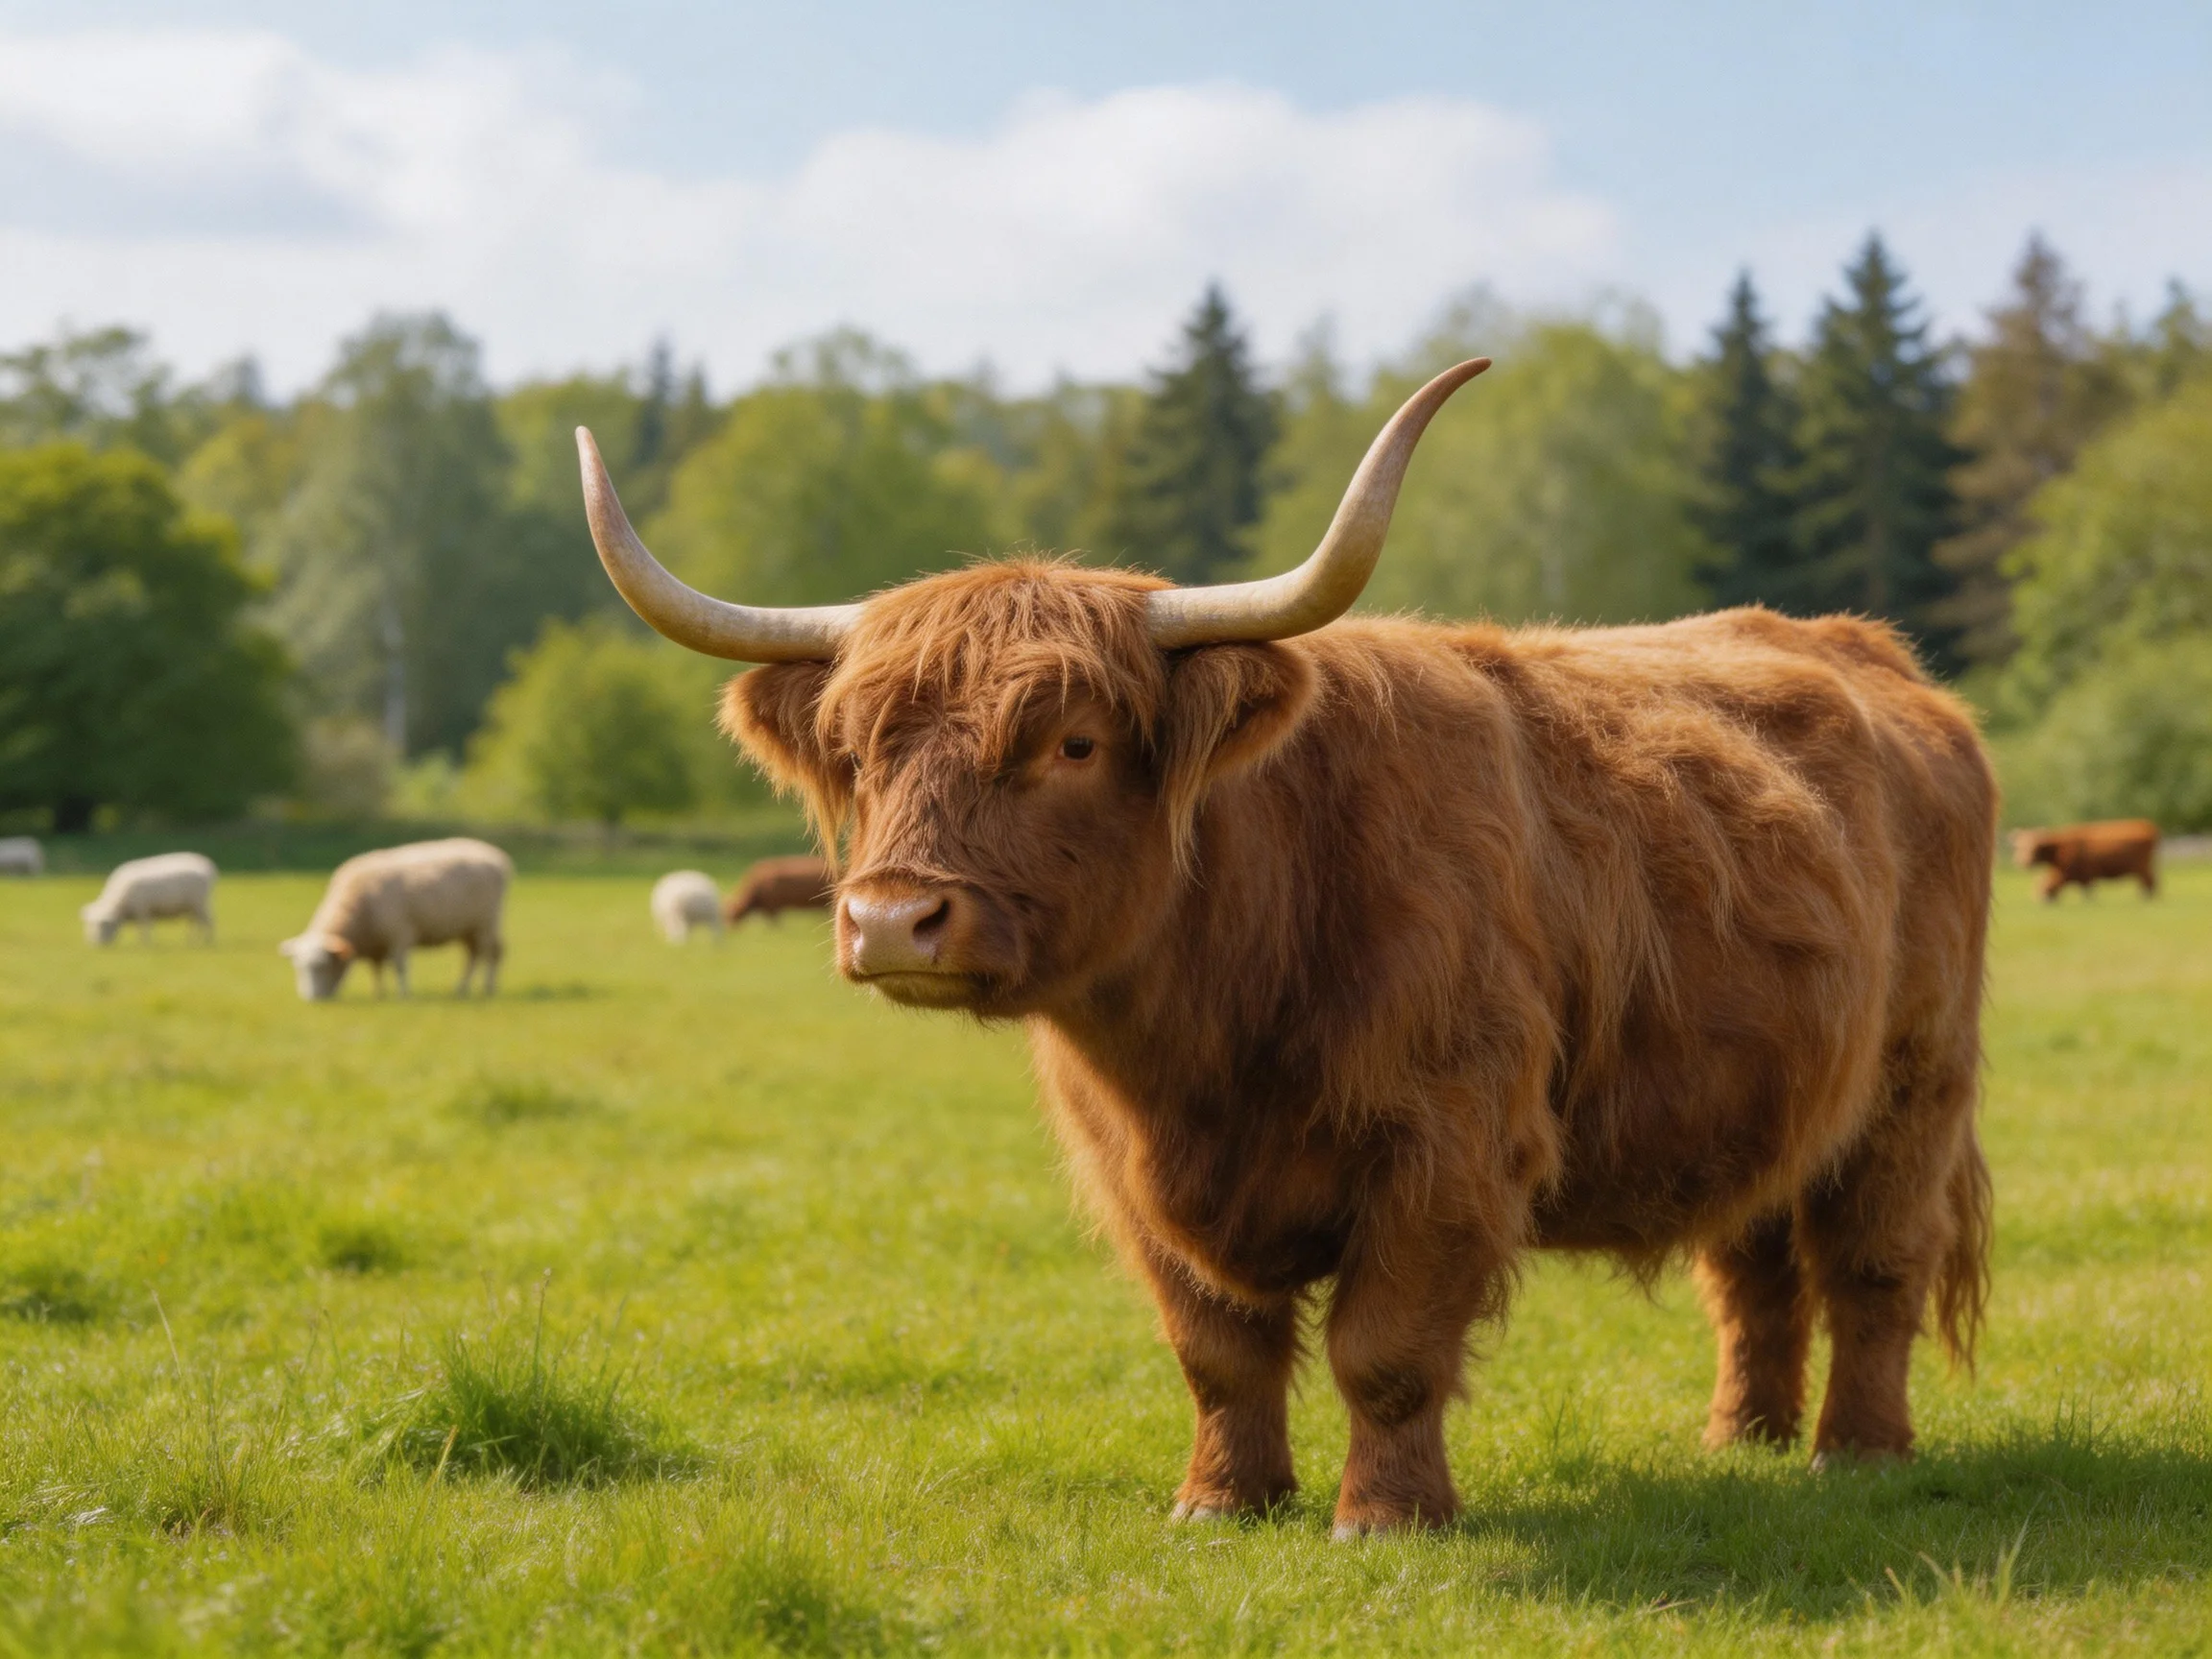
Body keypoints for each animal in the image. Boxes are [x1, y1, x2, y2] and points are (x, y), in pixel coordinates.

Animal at [81, 853, 216, 944]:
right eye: (89, 925)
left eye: (104, 925)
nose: (96, 945)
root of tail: (207, 866)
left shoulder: (142, 909)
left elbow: (144, 927)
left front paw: (145, 944)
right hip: (192, 906)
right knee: (196, 922)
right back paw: (192, 941)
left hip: (199, 902)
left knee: (208, 921)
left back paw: (207, 941)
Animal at [279, 838, 511, 1001]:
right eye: (297, 967)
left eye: (321, 966)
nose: (311, 999)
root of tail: (498, 857)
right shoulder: (376, 944)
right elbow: (376, 969)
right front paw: (378, 994)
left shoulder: (399, 934)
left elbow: (399, 966)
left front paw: (403, 995)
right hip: (468, 927)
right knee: (473, 955)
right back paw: (462, 989)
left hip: (487, 922)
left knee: (492, 953)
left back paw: (488, 988)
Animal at [572, 356, 1997, 1536]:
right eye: (860, 753)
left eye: (1073, 743)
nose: (890, 920)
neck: (1212, 1034)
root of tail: (1879, 660)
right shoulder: (1128, 1170)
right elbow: (1217, 1350)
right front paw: (1223, 1501)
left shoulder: (1449, 1141)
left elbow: (1387, 1347)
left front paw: (1388, 1518)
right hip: (1766, 1090)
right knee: (1753, 1268)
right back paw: (1739, 1440)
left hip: (1915, 1084)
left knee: (1873, 1262)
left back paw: (1855, 1452)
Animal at [2009, 819, 2158, 901]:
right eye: (2019, 847)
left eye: (2034, 846)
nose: (2022, 862)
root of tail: (2147, 825)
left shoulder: (2087, 874)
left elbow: (2088, 893)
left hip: (2142, 867)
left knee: (2150, 883)